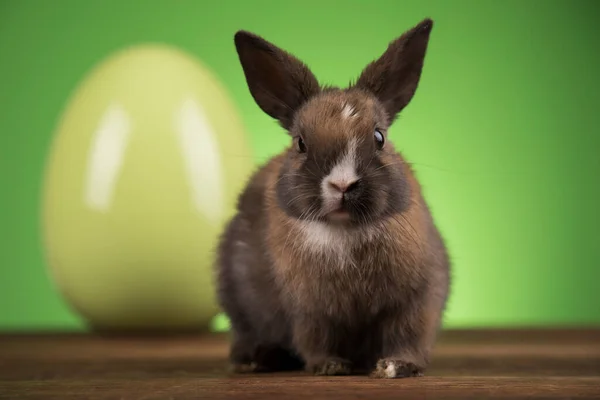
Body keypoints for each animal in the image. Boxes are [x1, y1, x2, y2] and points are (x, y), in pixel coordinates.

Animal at [216, 18, 450, 378]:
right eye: (300, 143)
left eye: (379, 137)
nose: (343, 184)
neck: (344, 231)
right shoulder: (308, 311)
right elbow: (315, 338)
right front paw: (331, 366)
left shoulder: (416, 300)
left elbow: (407, 334)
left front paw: (396, 366)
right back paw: (255, 360)